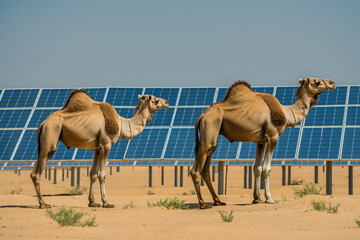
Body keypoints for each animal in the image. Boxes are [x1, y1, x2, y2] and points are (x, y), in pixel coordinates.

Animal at [30, 90, 169, 208]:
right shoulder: (106, 145)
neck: (122, 125)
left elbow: (93, 174)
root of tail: (43, 123)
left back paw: (43, 202)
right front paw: (106, 202)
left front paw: (92, 202)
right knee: (37, 171)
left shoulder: (97, 148)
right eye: (156, 100)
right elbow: (102, 175)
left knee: (34, 172)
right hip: (50, 136)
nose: (167, 102)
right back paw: (43, 204)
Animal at [193, 77, 336, 208]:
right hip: (210, 126)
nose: (332, 83)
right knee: (195, 170)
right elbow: (267, 168)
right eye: (317, 81)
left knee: (205, 168)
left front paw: (257, 199)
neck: (287, 114)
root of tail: (202, 116)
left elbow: (257, 168)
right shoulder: (273, 136)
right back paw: (203, 204)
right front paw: (269, 199)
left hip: (212, 137)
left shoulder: (260, 140)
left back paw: (218, 201)